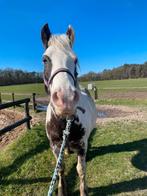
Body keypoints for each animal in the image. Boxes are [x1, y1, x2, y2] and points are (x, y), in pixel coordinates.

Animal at [40, 23, 97, 196]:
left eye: (75, 59)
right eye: (45, 59)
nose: (66, 99)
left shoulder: (82, 145)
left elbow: (81, 170)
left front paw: (84, 190)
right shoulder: (54, 145)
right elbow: (60, 168)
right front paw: (60, 190)